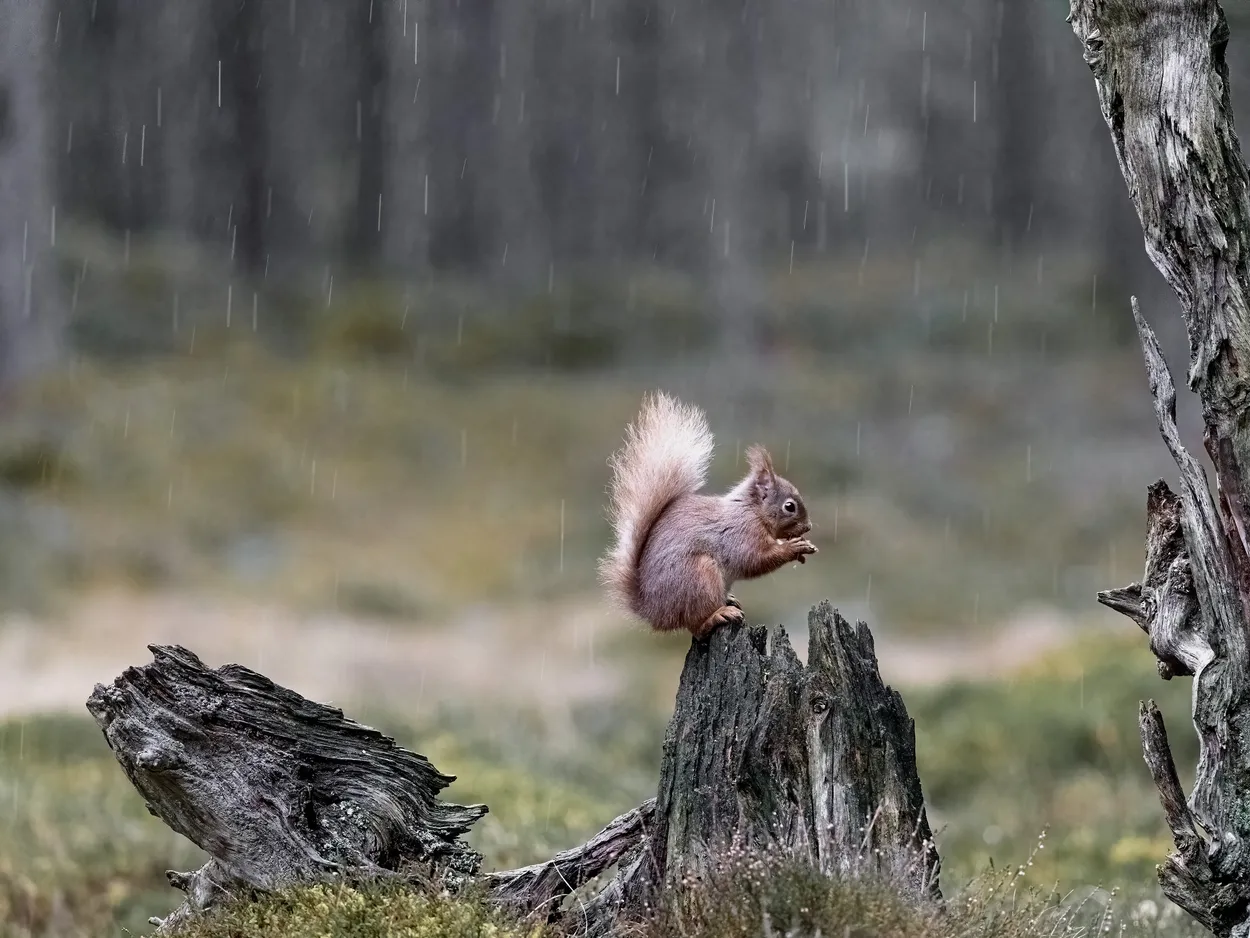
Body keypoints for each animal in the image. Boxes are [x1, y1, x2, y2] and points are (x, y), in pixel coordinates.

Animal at [598, 391, 817, 640]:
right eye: (789, 506)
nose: (808, 527)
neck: (752, 511)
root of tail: (652, 612)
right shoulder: (741, 533)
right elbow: (754, 559)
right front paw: (793, 548)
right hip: (699, 575)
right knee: (696, 625)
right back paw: (717, 615)